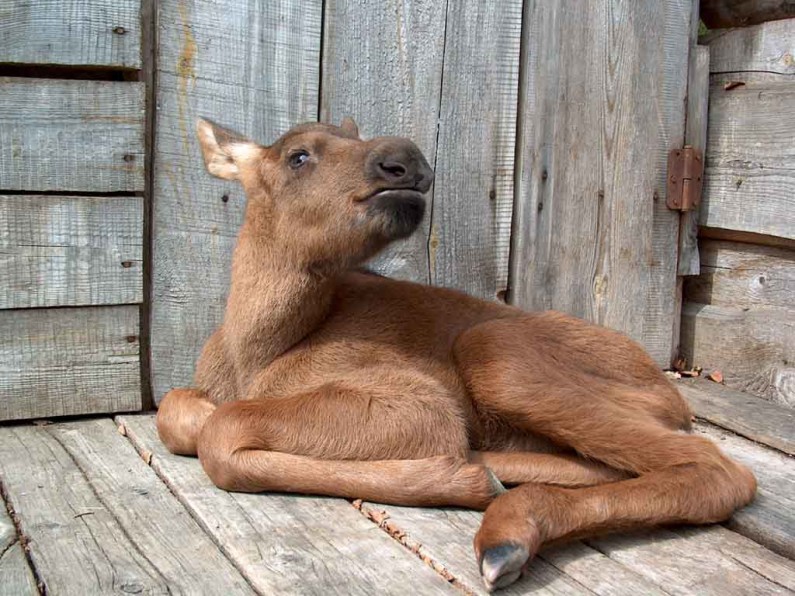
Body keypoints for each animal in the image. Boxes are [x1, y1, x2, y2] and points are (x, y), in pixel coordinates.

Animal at [157, 117, 760, 592]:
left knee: (718, 468)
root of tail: (675, 399)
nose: (407, 161)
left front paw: (447, 475)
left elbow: (223, 433)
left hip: (496, 350)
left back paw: (500, 522)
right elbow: (178, 415)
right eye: (298, 155)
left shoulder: (416, 399)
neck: (256, 347)